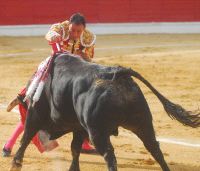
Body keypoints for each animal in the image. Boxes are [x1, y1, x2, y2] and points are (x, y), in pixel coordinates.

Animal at [10, 52, 199, 170]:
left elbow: (26, 136)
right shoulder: (79, 127)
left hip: (98, 132)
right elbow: (75, 149)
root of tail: (118, 73)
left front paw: (16, 163)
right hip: (142, 122)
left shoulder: (35, 113)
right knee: (155, 149)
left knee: (110, 155)